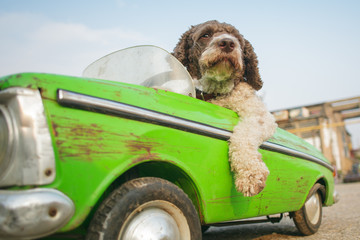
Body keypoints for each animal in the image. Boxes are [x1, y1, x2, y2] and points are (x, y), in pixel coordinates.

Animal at [173, 20, 278, 197]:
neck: (215, 92)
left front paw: (250, 175)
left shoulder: (259, 115)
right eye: (205, 35)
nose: (228, 43)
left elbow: (243, 135)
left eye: (237, 38)